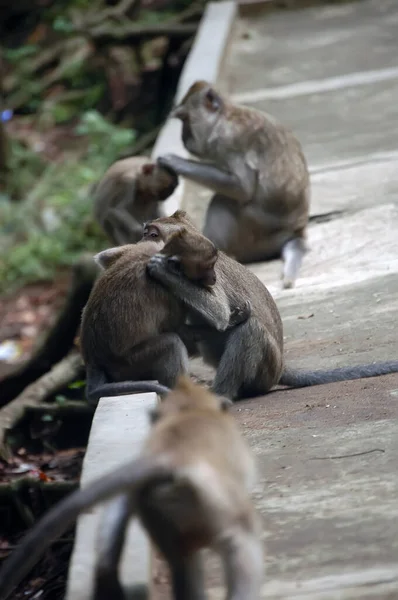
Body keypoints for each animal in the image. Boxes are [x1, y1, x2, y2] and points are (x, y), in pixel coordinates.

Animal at [0, 378, 264, 600]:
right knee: (239, 543)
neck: (188, 411)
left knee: (181, 563)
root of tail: (172, 458)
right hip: (214, 503)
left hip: (157, 511)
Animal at [145, 212, 398, 404]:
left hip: (266, 370)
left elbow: (220, 314)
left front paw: (163, 270)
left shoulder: (210, 276)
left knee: (251, 329)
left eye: (152, 233)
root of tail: (281, 366)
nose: (141, 233)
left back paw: (221, 395)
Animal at [157, 79, 310, 288]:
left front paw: (174, 161)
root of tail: (297, 230)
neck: (224, 117)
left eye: (186, 120)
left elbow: (242, 188)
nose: (183, 136)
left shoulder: (229, 141)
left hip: (256, 236)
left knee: (222, 201)